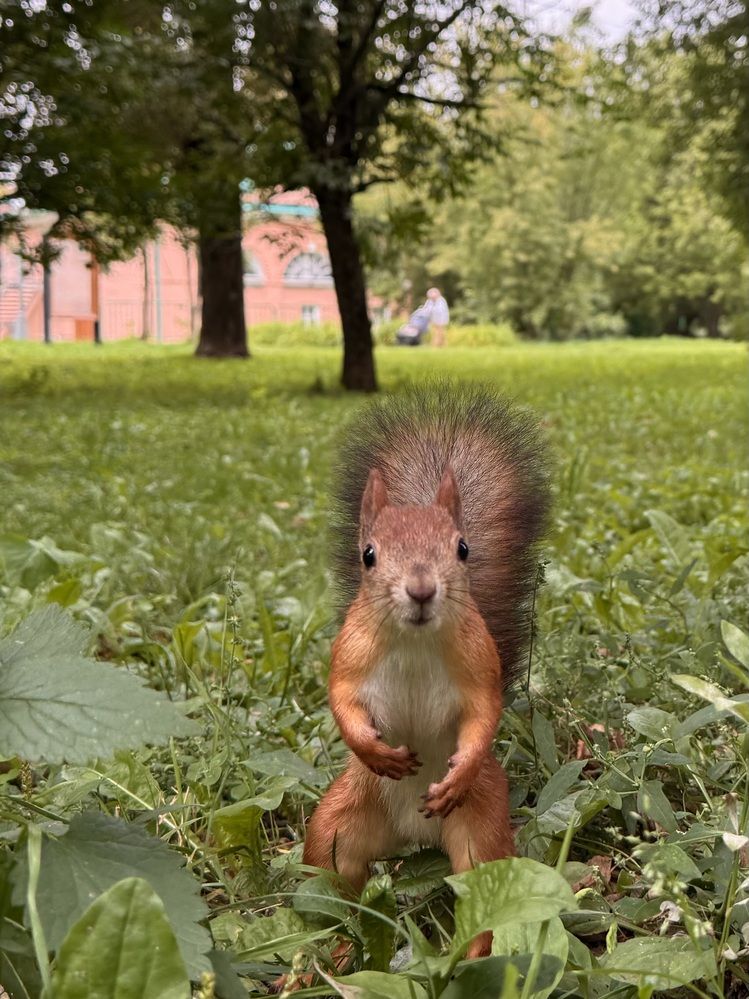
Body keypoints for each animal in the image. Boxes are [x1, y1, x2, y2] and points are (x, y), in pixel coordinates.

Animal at [303, 385, 550, 958]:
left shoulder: (479, 666)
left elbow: (484, 713)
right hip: (339, 822)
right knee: (335, 882)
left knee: (483, 896)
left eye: (462, 548)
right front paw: (377, 751)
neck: (414, 643)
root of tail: (412, 836)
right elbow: (341, 700)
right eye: (368, 555)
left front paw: (457, 773)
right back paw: (336, 949)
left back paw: (469, 954)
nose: (420, 590)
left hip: (482, 830)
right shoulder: (349, 655)